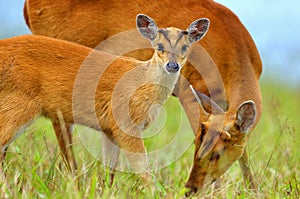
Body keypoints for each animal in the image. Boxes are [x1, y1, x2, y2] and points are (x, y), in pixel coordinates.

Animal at [0, 14, 210, 183]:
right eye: (159, 46)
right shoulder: (124, 123)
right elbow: (143, 168)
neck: (141, 81)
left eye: (185, 47)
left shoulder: (109, 128)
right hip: (18, 105)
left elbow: (110, 168)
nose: (172, 66)